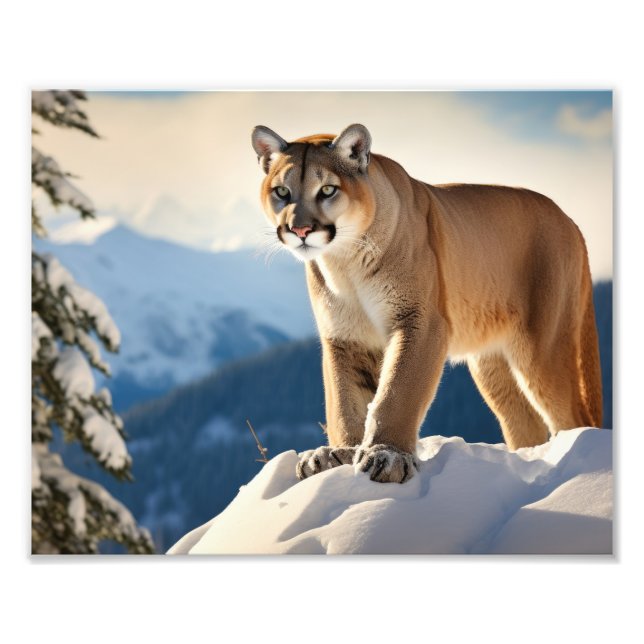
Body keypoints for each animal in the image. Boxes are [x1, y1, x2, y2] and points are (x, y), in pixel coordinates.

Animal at [251, 123, 602, 483]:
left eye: (327, 190)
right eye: (282, 192)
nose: (300, 229)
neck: (345, 262)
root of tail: (569, 220)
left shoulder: (419, 321)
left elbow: (397, 392)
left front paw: (387, 456)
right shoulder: (343, 337)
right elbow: (343, 401)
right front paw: (337, 454)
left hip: (541, 349)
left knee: (573, 415)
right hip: (491, 364)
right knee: (524, 423)